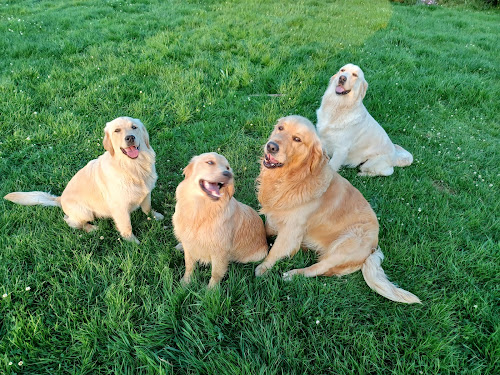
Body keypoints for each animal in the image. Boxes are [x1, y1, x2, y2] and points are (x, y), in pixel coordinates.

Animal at [4, 116, 164, 244]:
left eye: (134, 127)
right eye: (117, 130)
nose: (130, 137)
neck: (133, 167)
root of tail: (60, 199)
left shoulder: (146, 193)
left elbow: (147, 208)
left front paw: (155, 216)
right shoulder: (120, 208)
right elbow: (127, 226)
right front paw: (133, 243)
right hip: (85, 212)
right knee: (71, 221)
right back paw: (92, 228)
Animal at [172, 152, 268, 288]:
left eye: (227, 167)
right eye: (210, 162)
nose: (228, 174)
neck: (201, 208)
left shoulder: (219, 252)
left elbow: (216, 273)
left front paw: (211, 290)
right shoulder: (189, 244)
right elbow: (189, 265)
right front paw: (186, 282)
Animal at [254, 116, 422, 304]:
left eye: (297, 139)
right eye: (281, 128)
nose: (271, 146)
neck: (294, 179)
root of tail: (372, 249)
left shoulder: (290, 231)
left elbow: (275, 251)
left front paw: (262, 268)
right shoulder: (274, 218)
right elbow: (265, 229)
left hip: (347, 243)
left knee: (318, 268)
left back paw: (292, 274)